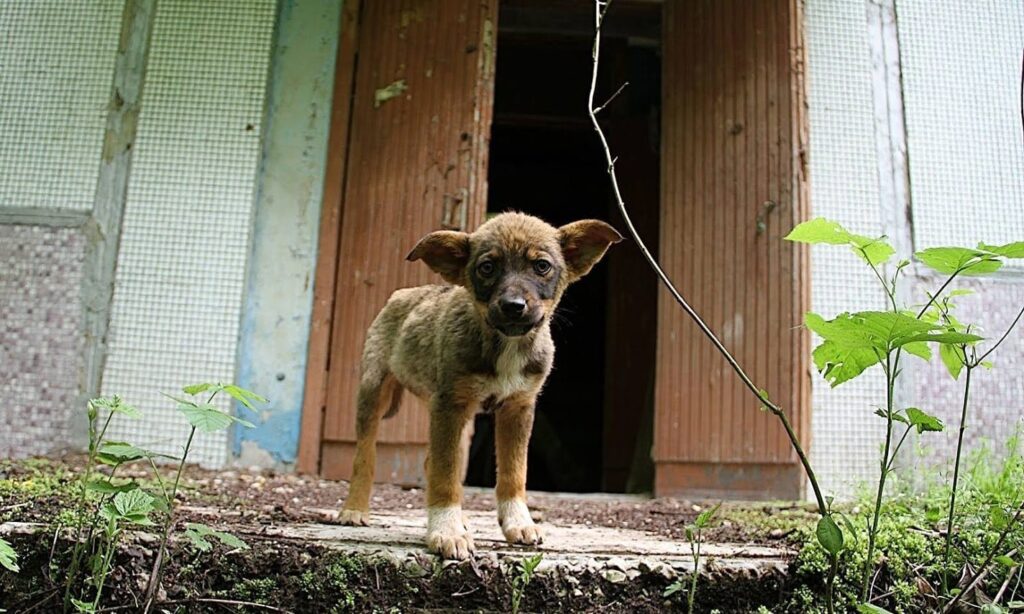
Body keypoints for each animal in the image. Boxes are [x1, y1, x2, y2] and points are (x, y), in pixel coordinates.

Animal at [339, 211, 618, 560]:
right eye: (487, 267)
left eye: (541, 266)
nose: (514, 305)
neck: (506, 344)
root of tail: (401, 294)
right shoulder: (449, 404)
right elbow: (445, 474)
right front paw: (446, 531)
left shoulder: (518, 407)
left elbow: (514, 472)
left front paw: (517, 522)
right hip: (374, 391)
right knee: (365, 455)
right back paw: (354, 509)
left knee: (433, 460)